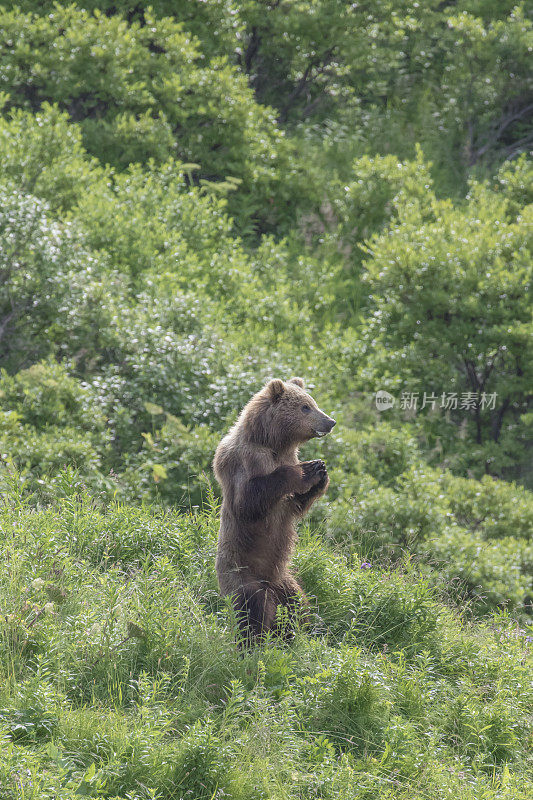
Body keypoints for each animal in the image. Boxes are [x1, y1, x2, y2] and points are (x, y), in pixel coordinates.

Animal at [211, 376, 332, 644]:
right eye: (305, 407)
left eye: (313, 403)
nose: (330, 421)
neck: (271, 442)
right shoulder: (243, 460)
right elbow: (249, 501)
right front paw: (307, 469)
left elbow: (295, 504)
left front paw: (320, 470)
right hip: (243, 576)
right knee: (252, 611)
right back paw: (253, 643)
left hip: (284, 580)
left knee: (298, 605)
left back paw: (299, 632)